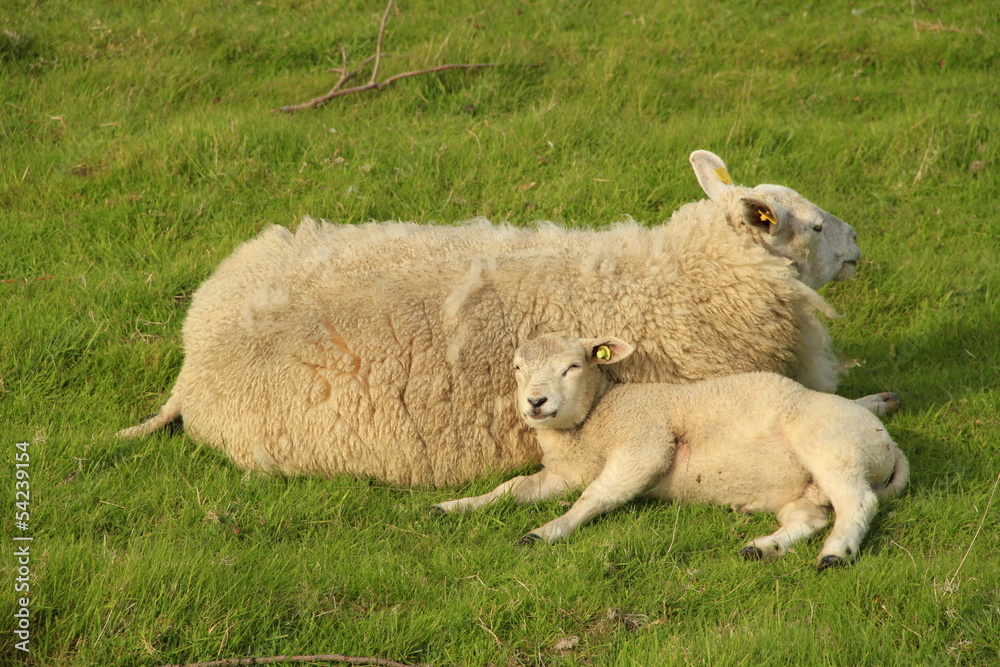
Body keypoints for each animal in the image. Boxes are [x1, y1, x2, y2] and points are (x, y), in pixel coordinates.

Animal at [433, 334, 909, 570]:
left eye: (573, 366)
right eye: (517, 368)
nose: (536, 402)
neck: (594, 417)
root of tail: (889, 444)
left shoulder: (645, 442)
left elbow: (596, 496)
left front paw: (547, 531)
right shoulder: (563, 474)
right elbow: (513, 488)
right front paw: (457, 505)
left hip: (832, 446)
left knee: (857, 503)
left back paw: (836, 554)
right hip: (803, 487)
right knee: (809, 519)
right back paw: (763, 548)